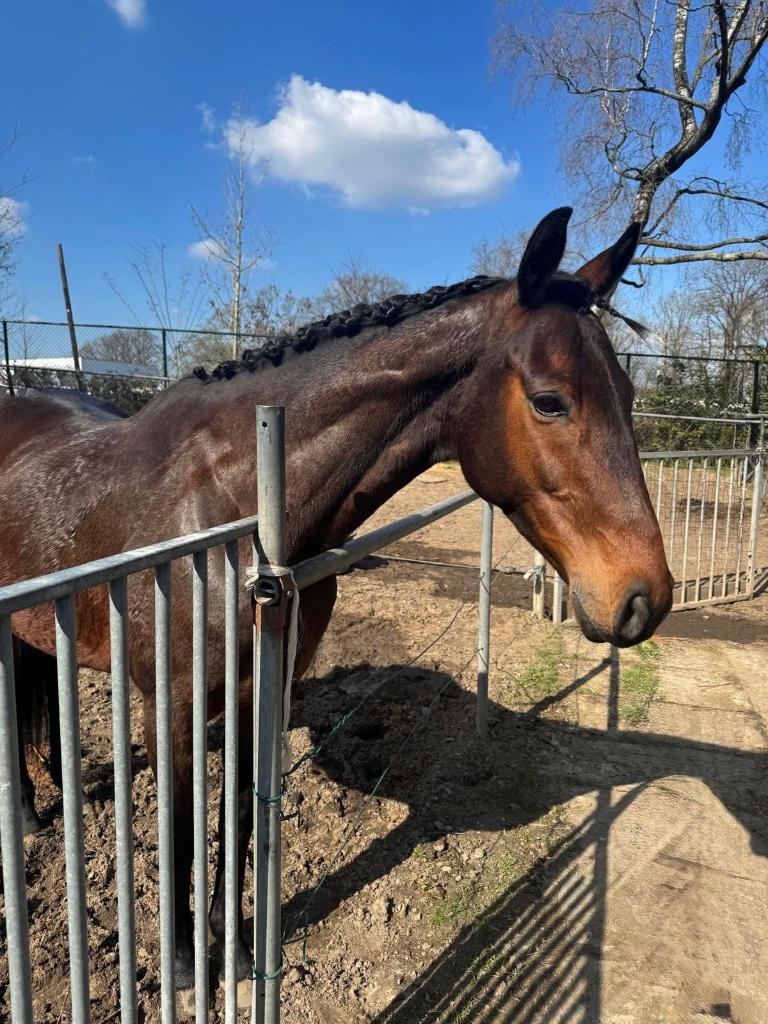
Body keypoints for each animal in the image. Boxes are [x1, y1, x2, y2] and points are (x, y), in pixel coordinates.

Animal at [0, 207, 673, 1010]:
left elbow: (242, 817)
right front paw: (188, 965)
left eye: (628, 397)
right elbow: (184, 829)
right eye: (550, 400)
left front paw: (235, 946)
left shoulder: (265, 689)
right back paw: (28, 817)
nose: (644, 597)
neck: (238, 511)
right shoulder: (175, 705)